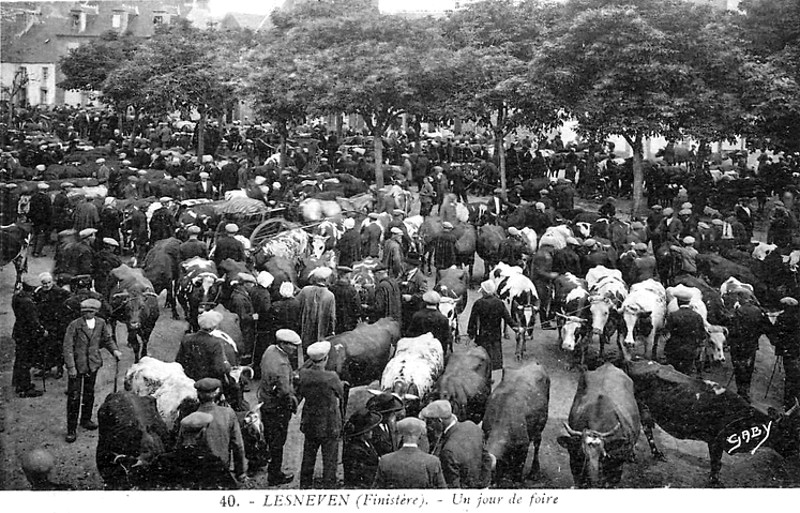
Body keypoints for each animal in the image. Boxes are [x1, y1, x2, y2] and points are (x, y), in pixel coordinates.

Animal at [624, 358, 800, 486]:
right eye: (785, 431)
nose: (793, 451)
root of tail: (634, 361)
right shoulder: (715, 441)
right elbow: (716, 463)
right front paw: (715, 481)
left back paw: (656, 454)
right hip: (637, 405)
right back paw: (632, 455)